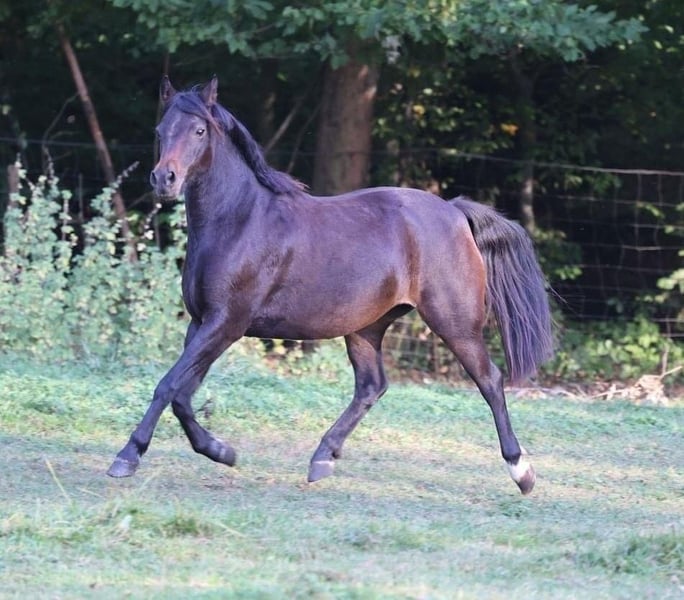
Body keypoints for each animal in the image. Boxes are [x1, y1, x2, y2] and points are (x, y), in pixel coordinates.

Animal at [107, 76, 553, 495]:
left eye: (199, 130)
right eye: (160, 129)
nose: (164, 179)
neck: (237, 221)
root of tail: (456, 212)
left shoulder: (226, 324)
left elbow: (167, 385)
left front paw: (127, 457)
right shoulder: (201, 324)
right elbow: (182, 395)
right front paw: (222, 451)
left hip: (454, 323)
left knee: (490, 380)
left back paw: (522, 472)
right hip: (365, 327)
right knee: (372, 386)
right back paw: (322, 458)